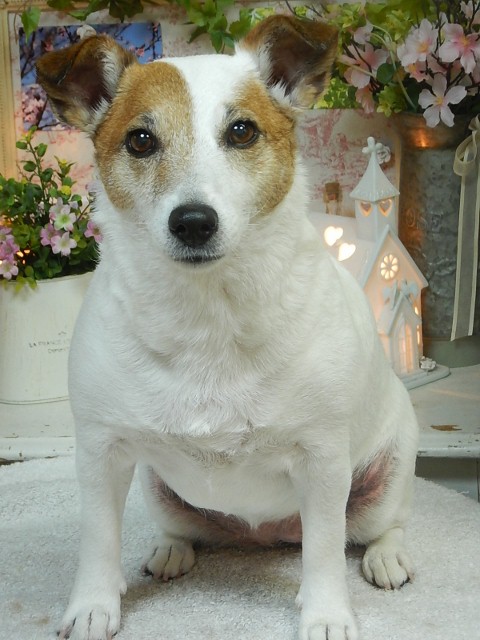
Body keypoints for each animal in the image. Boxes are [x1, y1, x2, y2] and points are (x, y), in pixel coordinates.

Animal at [36, 15, 418, 640]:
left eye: (241, 132)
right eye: (140, 140)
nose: (193, 222)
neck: (207, 316)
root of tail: (268, 535)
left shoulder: (322, 461)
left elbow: (324, 552)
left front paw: (326, 614)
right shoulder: (100, 452)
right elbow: (97, 539)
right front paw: (92, 605)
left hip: (384, 476)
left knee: (374, 527)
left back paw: (388, 556)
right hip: (158, 489)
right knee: (184, 527)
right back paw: (171, 549)